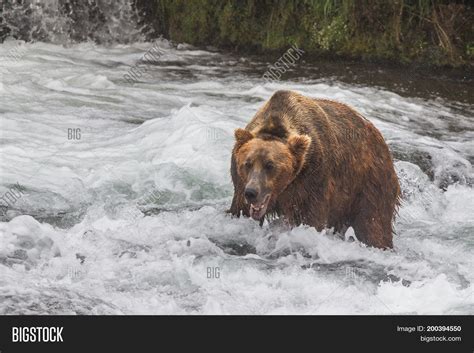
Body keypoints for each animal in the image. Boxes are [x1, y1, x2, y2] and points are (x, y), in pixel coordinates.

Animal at [230, 90, 400, 248]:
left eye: (270, 165)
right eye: (247, 163)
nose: (251, 192)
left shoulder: (312, 180)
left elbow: (309, 219)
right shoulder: (240, 185)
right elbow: (239, 210)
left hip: (369, 185)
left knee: (374, 226)